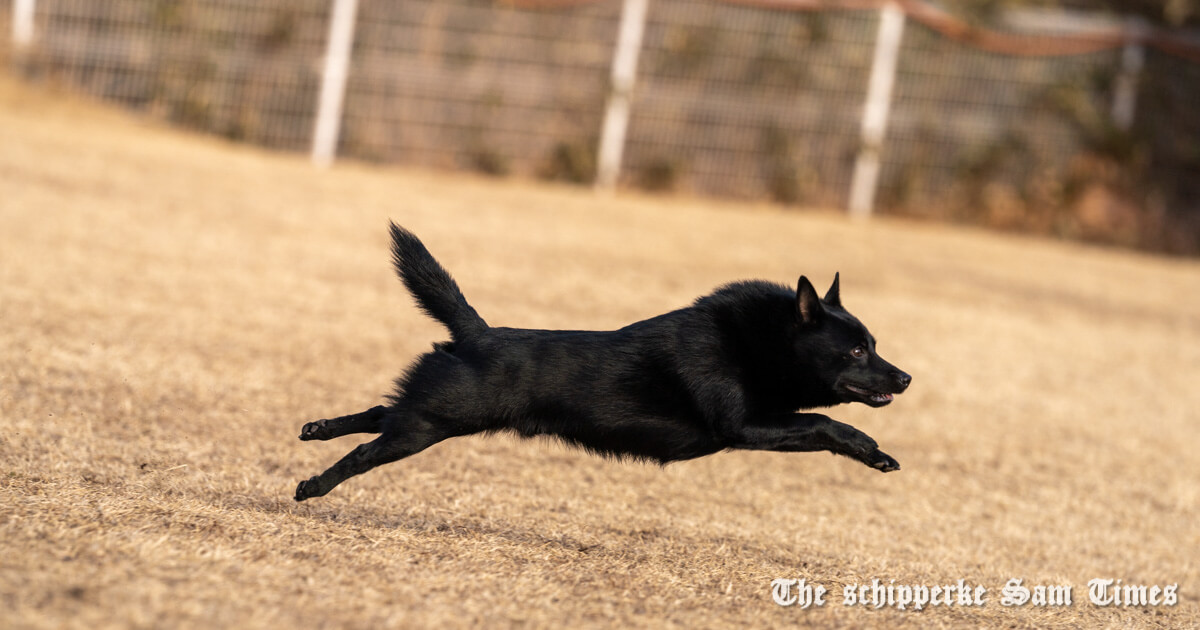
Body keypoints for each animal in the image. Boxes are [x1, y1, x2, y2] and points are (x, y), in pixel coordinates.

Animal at [292, 222, 907, 501]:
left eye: (874, 342)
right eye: (857, 349)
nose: (905, 377)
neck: (752, 341)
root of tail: (476, 333)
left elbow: (818, 422)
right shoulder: (743, 426)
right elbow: (824, 422)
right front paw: (873, 450)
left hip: (432, 413)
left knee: (378, 411)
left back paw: (316, 428)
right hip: (429, 424)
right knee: (367, 448)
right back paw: (313, 487)